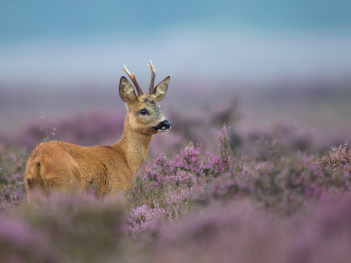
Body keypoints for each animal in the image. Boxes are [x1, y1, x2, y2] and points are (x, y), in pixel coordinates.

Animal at [25, 61, 171, 200]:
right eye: (143, 110)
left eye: (160, 108)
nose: (166, 123)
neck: (126, 159)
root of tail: (39, 160)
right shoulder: (117, 190)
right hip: (66, 185)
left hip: (33, 190)